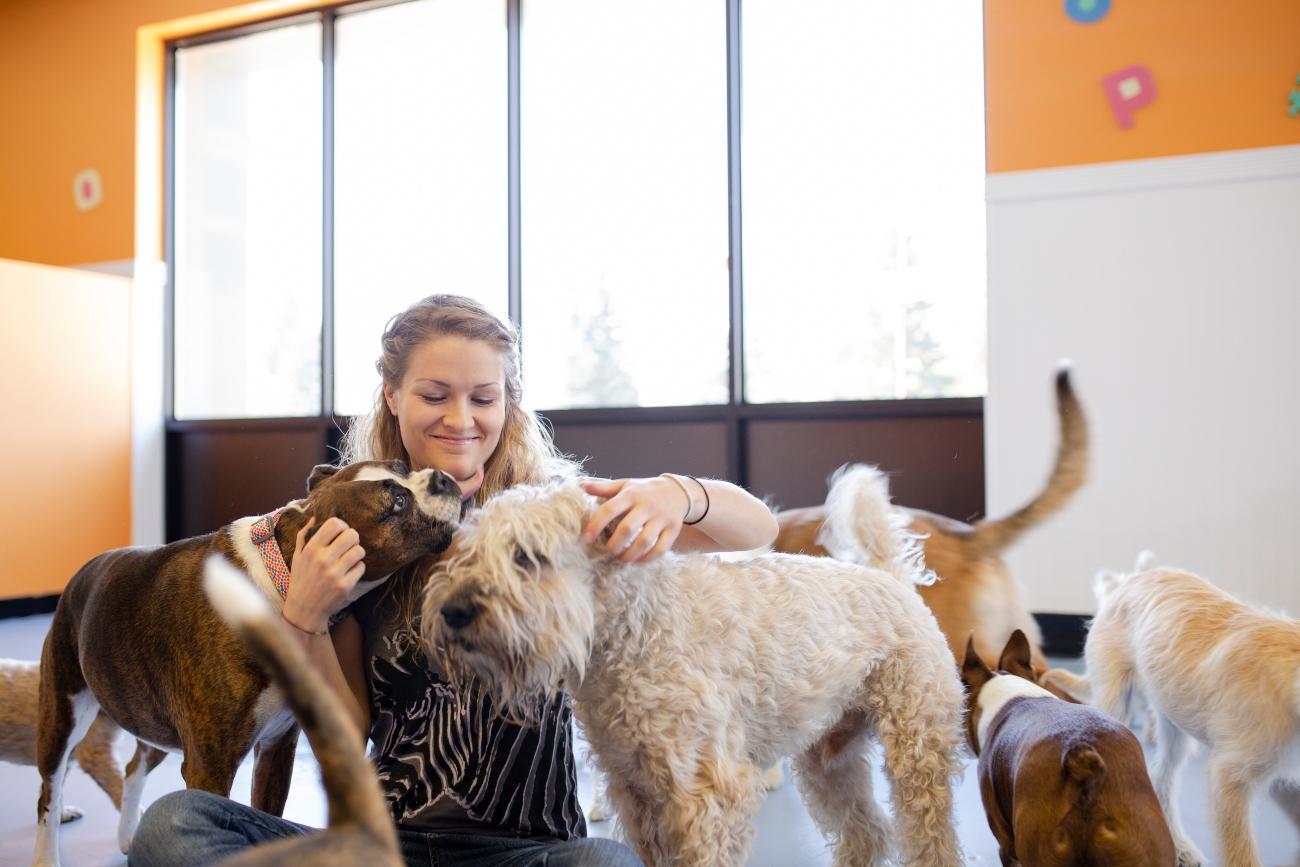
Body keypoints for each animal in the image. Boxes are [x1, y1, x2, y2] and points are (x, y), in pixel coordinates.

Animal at [32, 460, 462, 867]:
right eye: (398, 502)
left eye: (403, 467)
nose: (442, 478)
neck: (283, 578)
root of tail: (85, 571)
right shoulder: (210, 767)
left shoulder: (276, 748)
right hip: (62, 718)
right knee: (49, 792)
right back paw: (46, 855)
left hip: (152, 717)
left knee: (133, 766)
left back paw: (126, 834)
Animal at [421, 480, 961, 867]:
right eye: (468, 552)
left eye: (527, 555)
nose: (452, 611)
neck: (636, 627)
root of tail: (892, 580)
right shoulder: (635, 794)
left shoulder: (707, 799)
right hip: (829, 763)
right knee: (867, 833)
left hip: (918, 755)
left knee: (930, 839)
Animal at [1086, 564, 1300, 867]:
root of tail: (1128, 579)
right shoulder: (1230, 780)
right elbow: (1241, 853)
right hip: (1113, 709)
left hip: (1173, 723)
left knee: (1161, 778)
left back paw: (1179, 846)